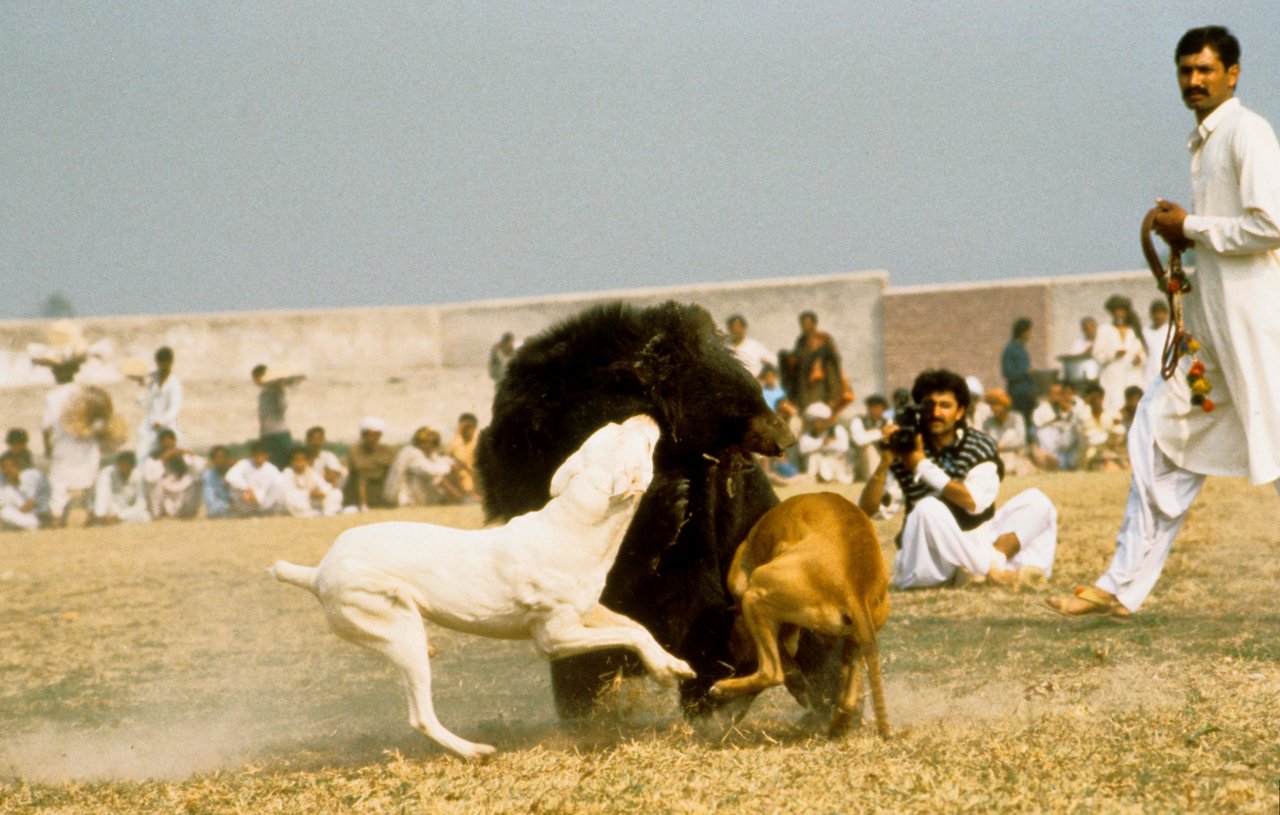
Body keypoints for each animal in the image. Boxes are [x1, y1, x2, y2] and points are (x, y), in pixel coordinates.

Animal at [268, 417, 691, 757]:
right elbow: (628, 634)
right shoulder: (554, 639)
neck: (576, 522)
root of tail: (318, 572)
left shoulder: (588, 612)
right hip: (398, 630)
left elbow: (637, 628)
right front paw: (663, 671)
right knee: (421, 717)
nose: (644, 414)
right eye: (631, 437)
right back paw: (474, 752)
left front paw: (672, 663)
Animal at [711, 488, 890, 736]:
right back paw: (836, 725)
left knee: (771, 673)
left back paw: (722, 688)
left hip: (755, 597)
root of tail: (856, 587)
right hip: (855, 644)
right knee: (849, 700)